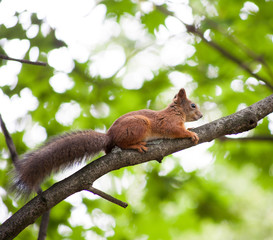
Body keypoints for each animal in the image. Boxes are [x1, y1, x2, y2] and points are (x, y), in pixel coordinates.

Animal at [13, 88, 202, 195]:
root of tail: (109, 136)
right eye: (193, 105)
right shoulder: (169, 124)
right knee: (123, 143)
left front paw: (191, 129)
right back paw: (136, 145)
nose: (201, 116)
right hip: (139, 125)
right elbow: (177, 131)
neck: (176, 111)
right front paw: (190, 134)